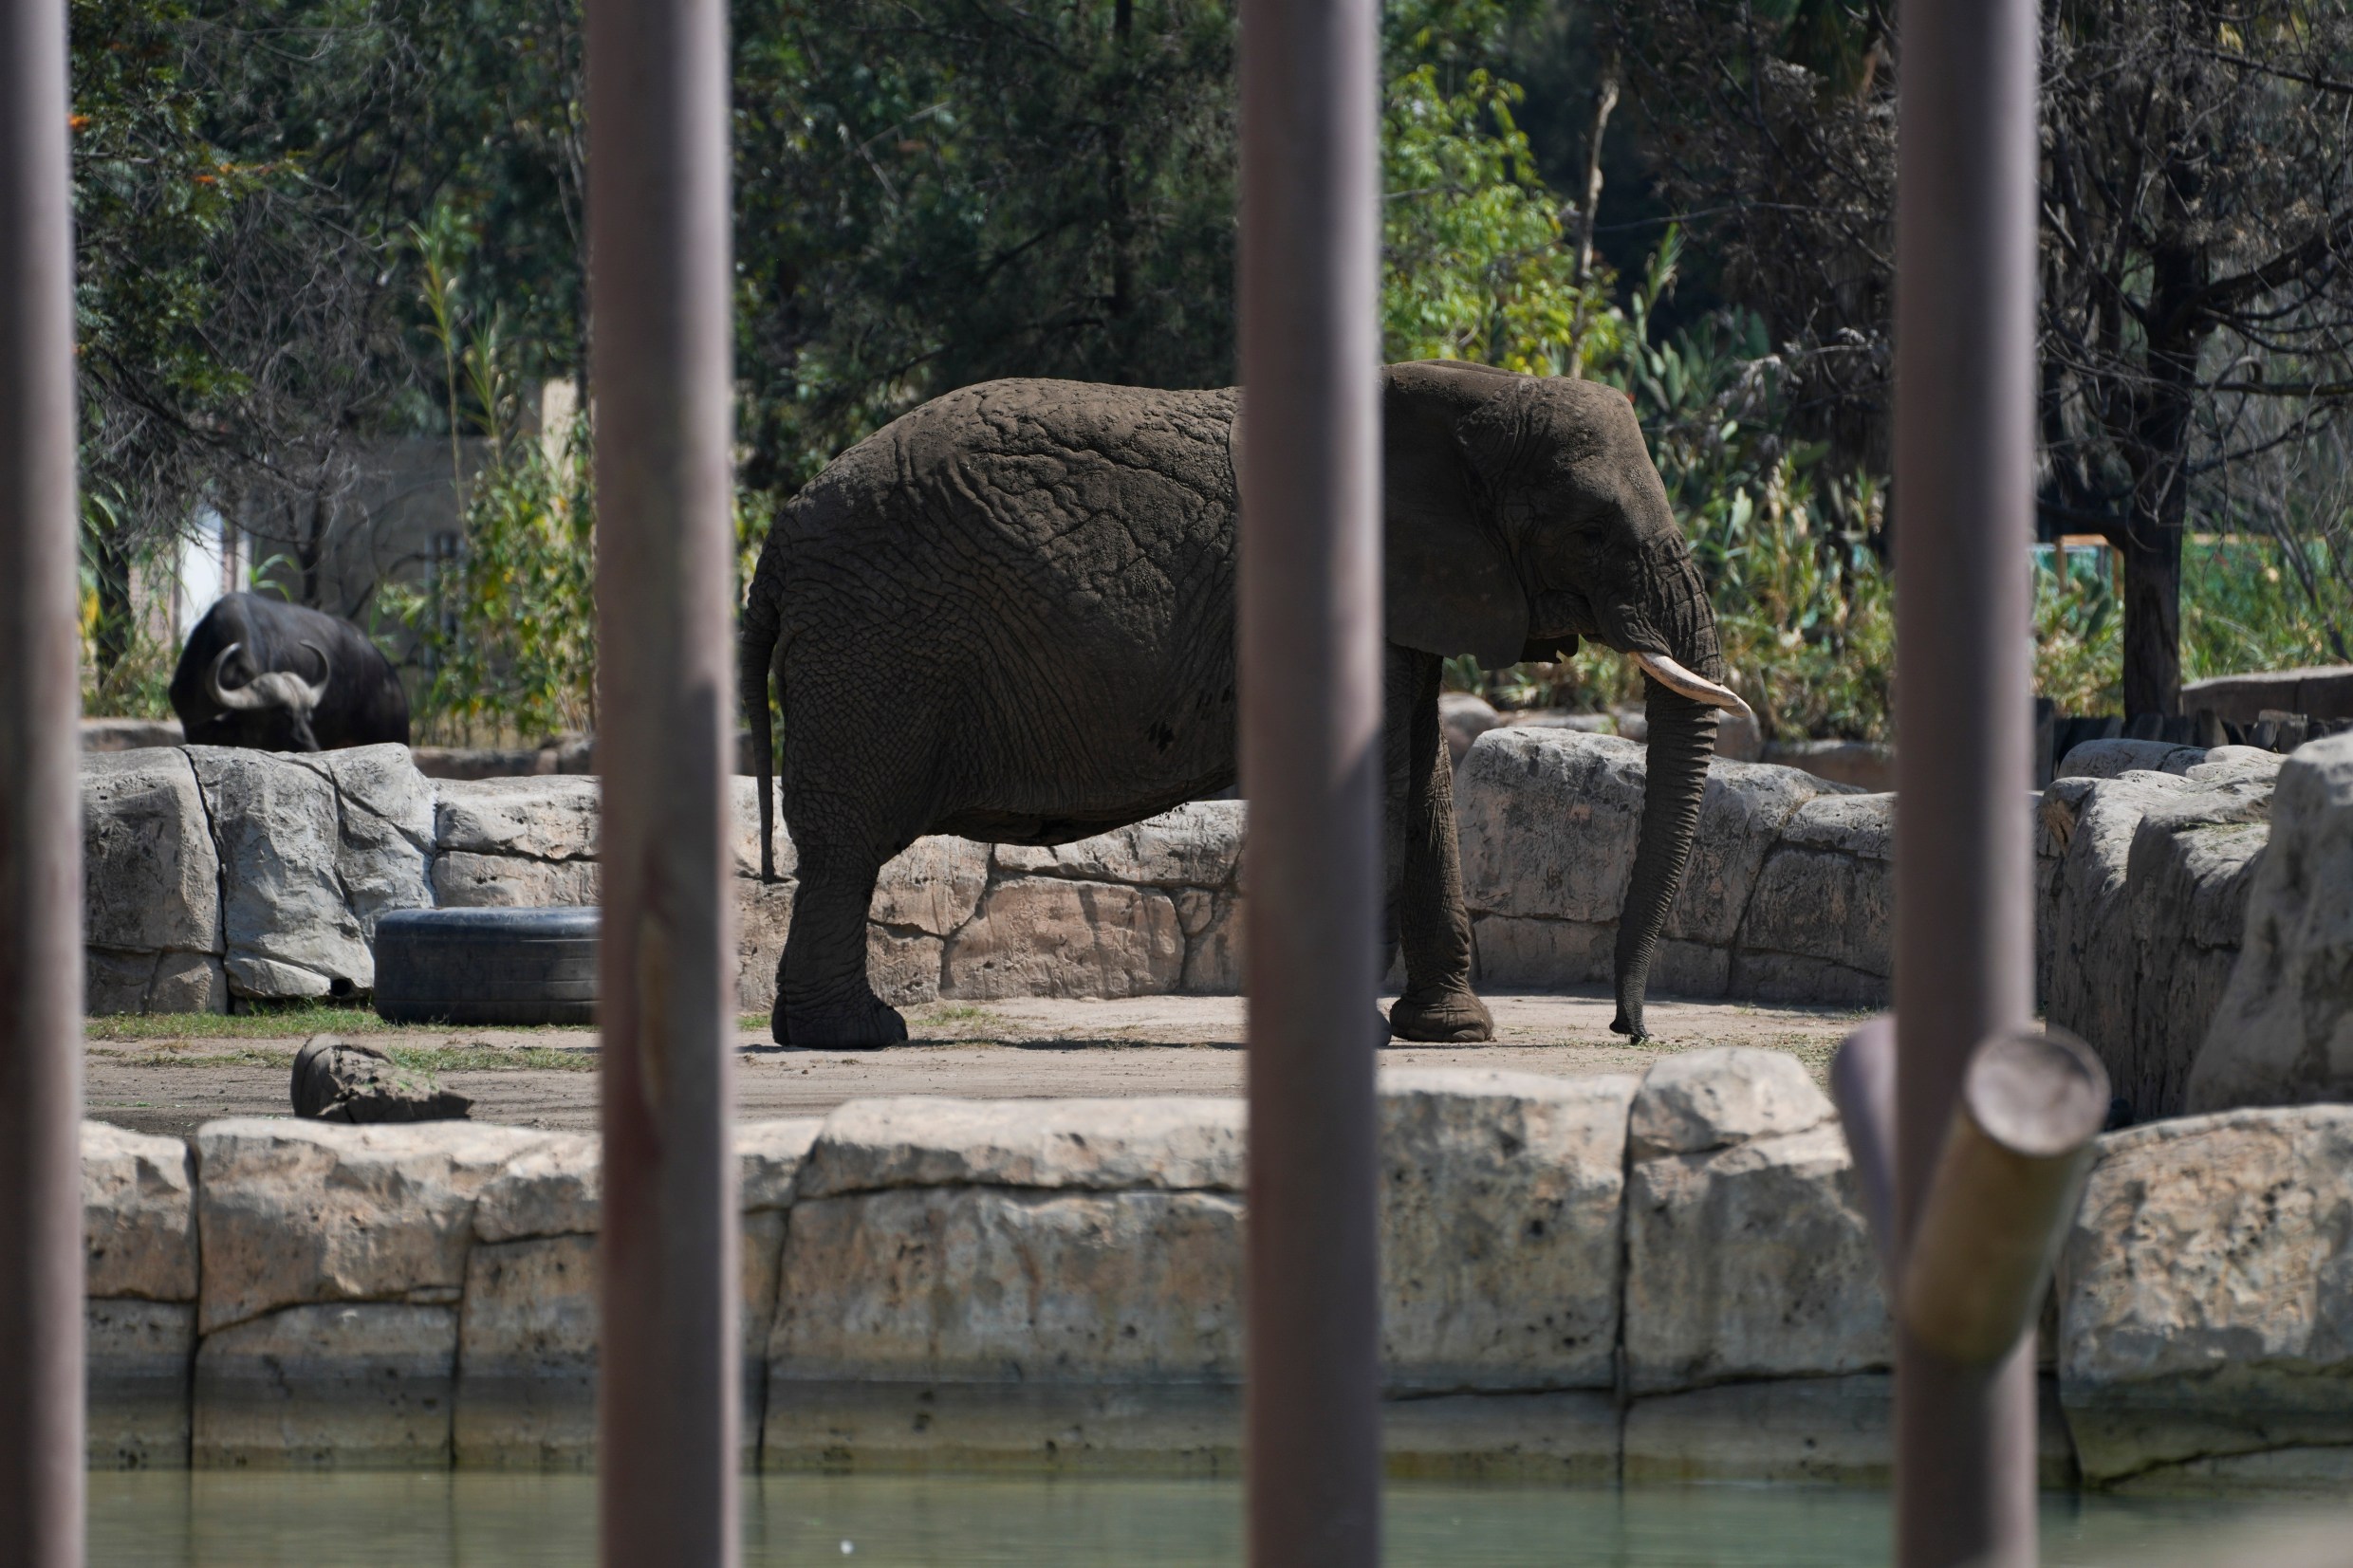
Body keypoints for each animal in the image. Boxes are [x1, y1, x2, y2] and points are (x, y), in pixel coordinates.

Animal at [743, 366, 1760, 1048]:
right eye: (1590, 530)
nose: (1629, 1029)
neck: (1464, 396)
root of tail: (779, 537)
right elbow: (1383, 781)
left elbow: (1425, 777)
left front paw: (1454, 1034)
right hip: (880, 642)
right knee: (847, 843)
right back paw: (860, 1034)